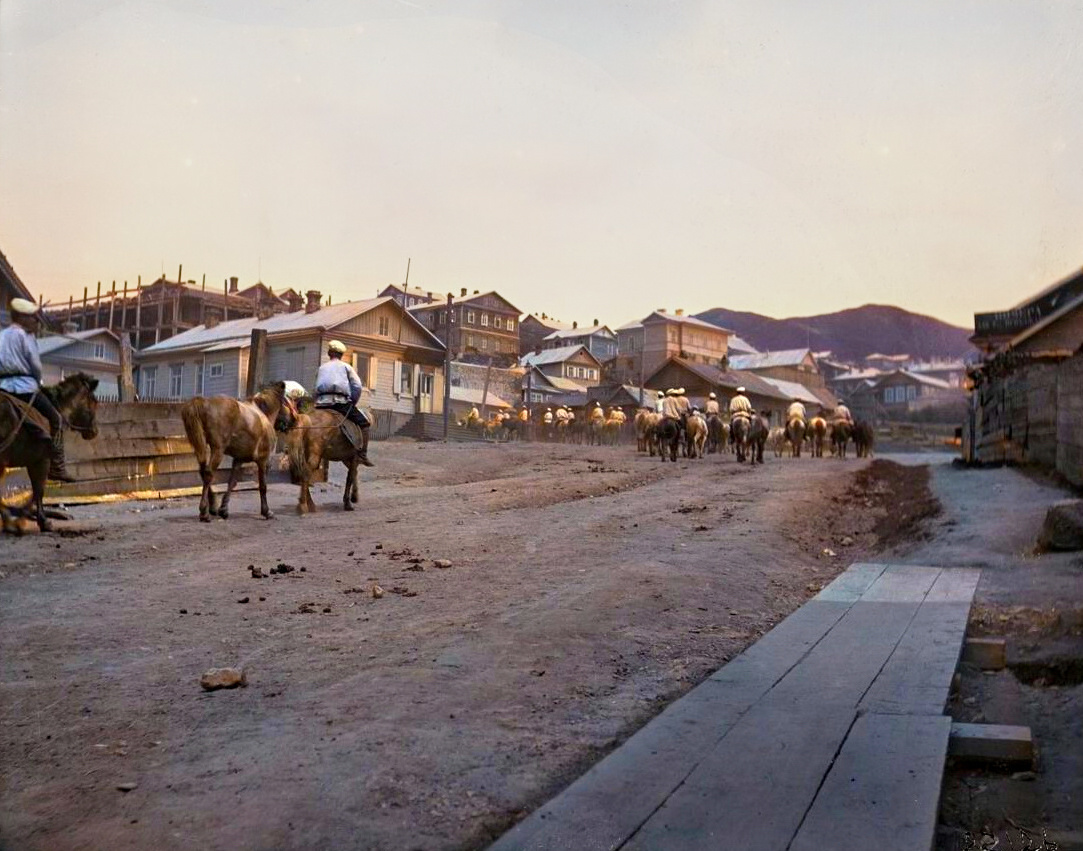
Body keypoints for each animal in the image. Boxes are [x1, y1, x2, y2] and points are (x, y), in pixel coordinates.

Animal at [179, 378, 296, 524]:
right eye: (288, 402)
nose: (294, 420)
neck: (263, 414)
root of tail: (204, 402)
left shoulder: (238, 459)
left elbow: (232, 482)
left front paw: (223, 509)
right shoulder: (263, 460)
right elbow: (262, 486)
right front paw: (266, 511)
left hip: (201, 446)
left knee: (203, 471)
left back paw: (212, 506)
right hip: (217, 450)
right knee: (208, 474)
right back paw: (204, 512)